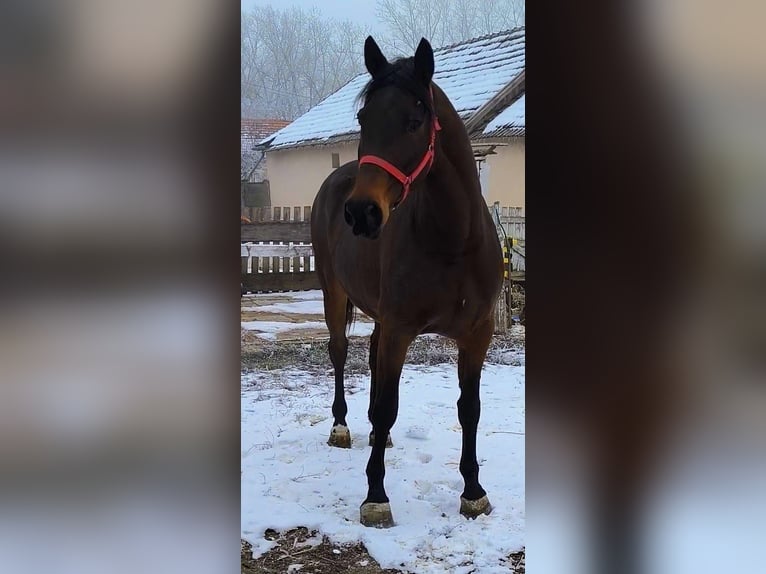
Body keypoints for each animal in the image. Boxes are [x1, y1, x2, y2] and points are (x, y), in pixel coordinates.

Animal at [310, 36, 504, 528]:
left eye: (414, 122)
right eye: (363, 119)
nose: (361, 213)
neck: (453, 242)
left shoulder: (477, 335)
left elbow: (470, 409)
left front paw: (473, 492)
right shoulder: (401, 330)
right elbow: (387, 405)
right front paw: (375, 496)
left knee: (372, 358)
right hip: (334, 293)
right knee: (340, 353)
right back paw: (341, 426)